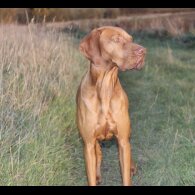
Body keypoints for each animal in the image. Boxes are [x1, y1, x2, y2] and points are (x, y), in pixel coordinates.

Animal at [76, 26, 146, 186]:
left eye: (131, 39)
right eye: (116, 39)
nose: (143, 51)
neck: (105, 88)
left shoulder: (122, 141)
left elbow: (125, 175)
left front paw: (129, 170)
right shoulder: (88, 143)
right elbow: (91, 172)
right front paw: (95, 176)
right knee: (99, 153)